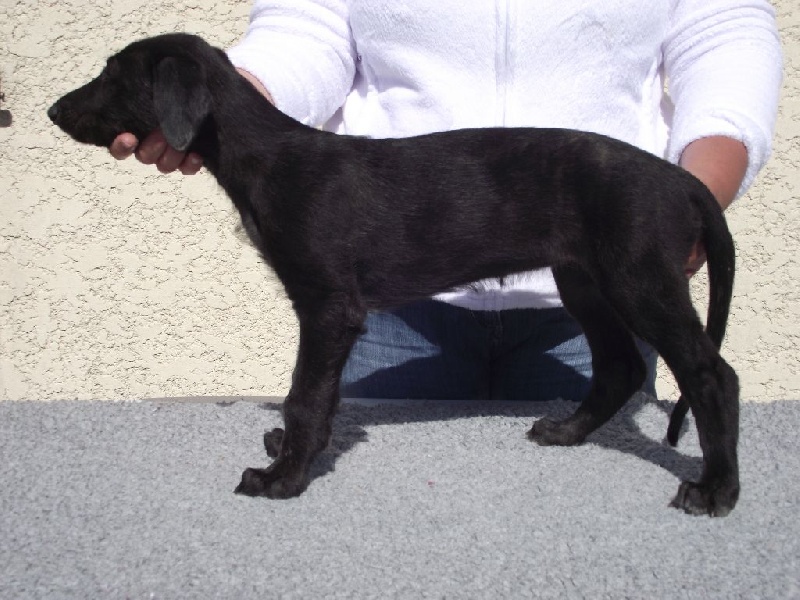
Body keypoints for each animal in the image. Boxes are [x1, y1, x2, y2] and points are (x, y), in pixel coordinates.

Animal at [48, 33, 740, 516]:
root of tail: (683, 181)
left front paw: (282, 478)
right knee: (620, 364)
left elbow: (305, 395)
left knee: (711, 374)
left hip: (641, 278)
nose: (53, 111)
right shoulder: (332, 314)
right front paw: (296, 454)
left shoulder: (328, 306)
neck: (264, 158)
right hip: (585, 279)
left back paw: (716, 489)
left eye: (111, 74)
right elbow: (321, 397)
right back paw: (568, 429)